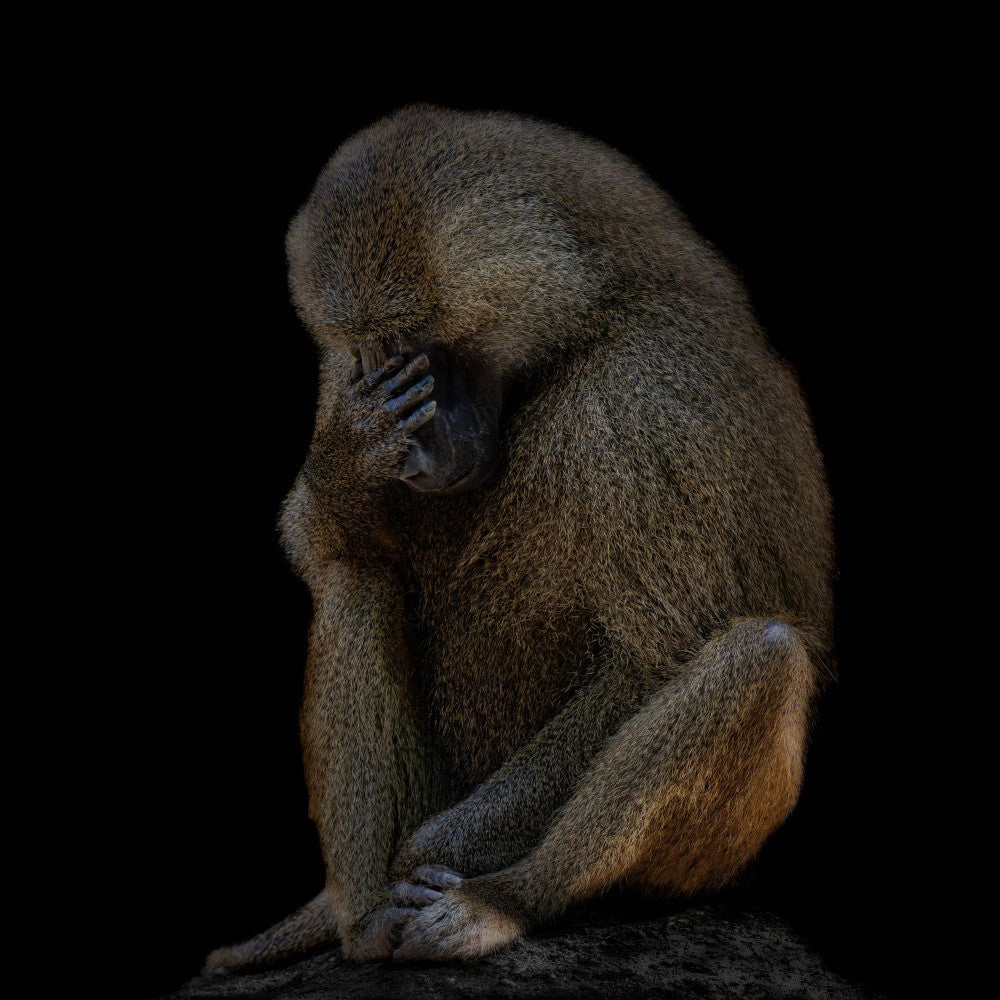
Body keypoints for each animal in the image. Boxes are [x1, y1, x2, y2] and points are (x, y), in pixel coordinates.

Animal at [204, 103, 834, 970]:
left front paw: (435, 849)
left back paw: (499, 902)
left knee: (762, 655)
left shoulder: (648, 399)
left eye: (420, 336)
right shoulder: (347, 382)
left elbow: (654, 654)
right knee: (358, 580)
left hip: (707, 862)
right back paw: (364, 923)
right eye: (370, 348)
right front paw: (352, 455)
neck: (581, 320)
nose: (422, 450)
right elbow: (323, 543)